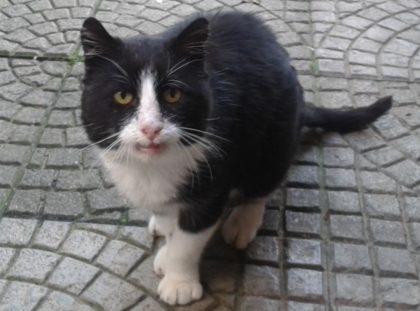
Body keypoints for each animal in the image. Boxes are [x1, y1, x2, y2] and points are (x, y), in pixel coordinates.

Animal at [80, 11, 392, 306]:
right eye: (123, 96)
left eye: (173, 94)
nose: (150, 128)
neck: (153, 167)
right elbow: (169, 218)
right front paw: (166, 238)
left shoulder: (214, 174)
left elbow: (189, 238)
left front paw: (178, 280)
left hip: (276, 132)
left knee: (264, 182)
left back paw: (244, 220)